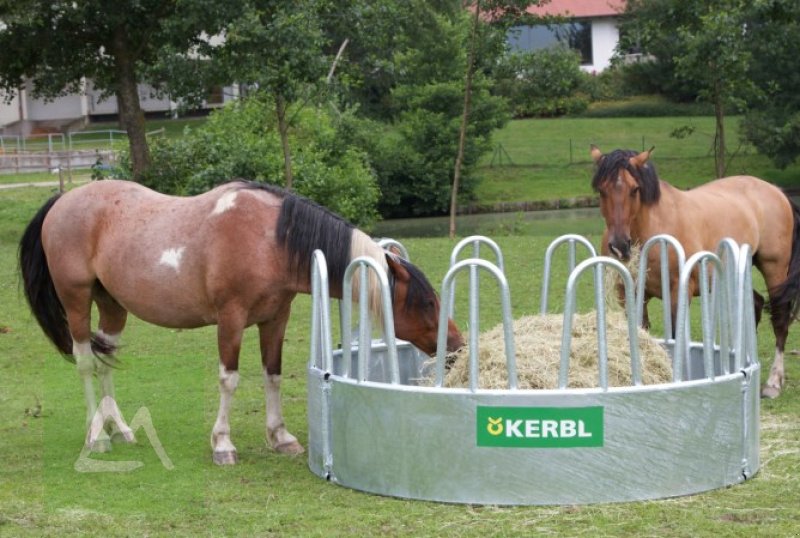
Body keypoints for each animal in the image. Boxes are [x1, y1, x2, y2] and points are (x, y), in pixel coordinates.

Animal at [20, 179, 462, 460]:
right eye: (426, 303)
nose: (456, 344)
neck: (269, 240)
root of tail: (63, 201)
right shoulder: (230, 320)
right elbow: (229, 379)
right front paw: (222, 444)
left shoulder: (275, 319)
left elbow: (273, 375)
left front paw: (280, 437)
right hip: (76, 300)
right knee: (85, 362)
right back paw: (96, 436)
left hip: (112, 306)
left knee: (106, 360)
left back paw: (119, 428)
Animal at [588, 147, 800, 398]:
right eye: (601, 190)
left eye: (634, 189)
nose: (620, 245)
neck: (654, 229)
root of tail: (777, 191)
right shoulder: (629, 293)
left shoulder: (678, 292)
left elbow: (674, 337)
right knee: (756, 303)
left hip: (774, 268)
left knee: (780, 319)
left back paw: (773, 383)